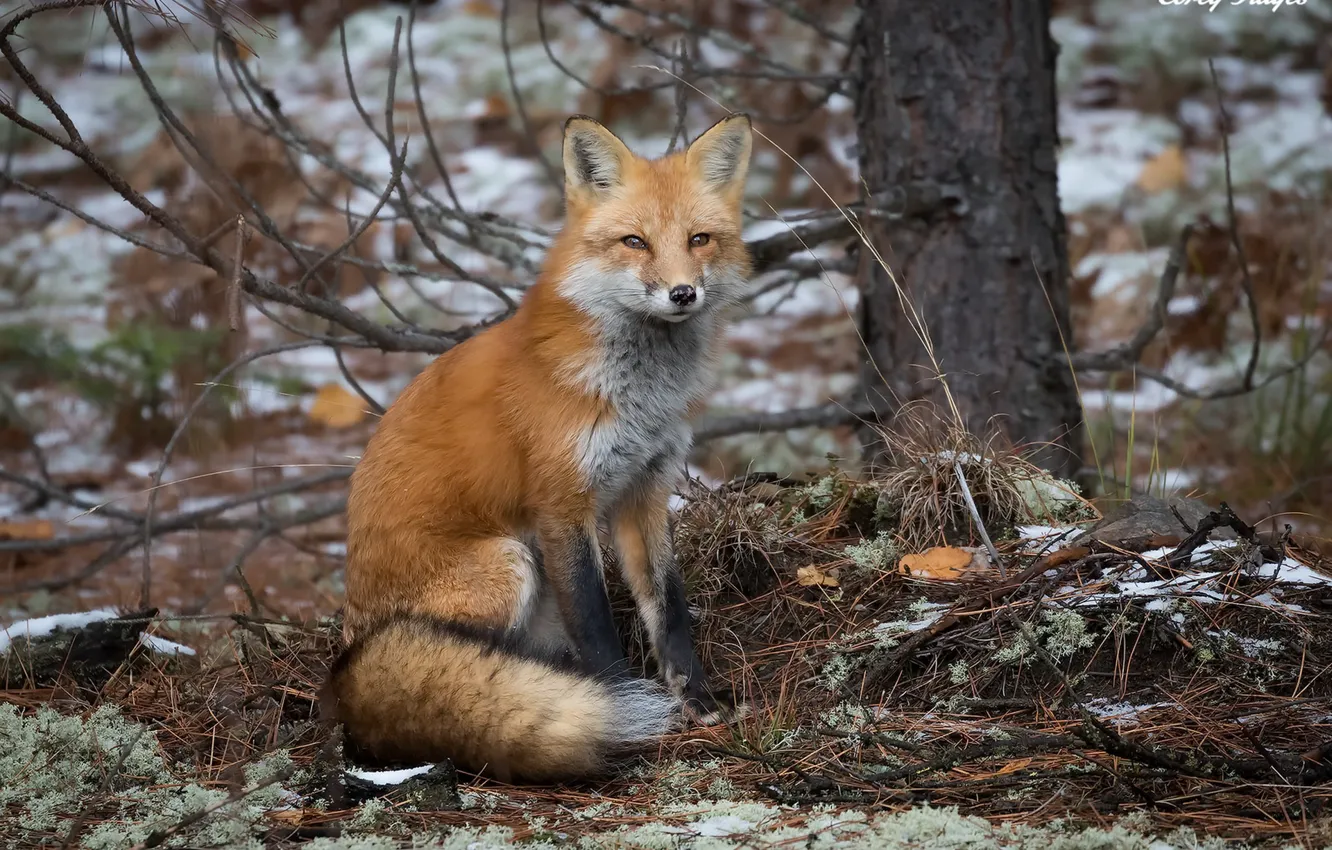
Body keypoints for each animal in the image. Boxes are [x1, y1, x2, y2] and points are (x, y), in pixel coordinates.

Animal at [322, 113, 755, 784]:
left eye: (700, 239)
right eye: (635, 242)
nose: (683, 293)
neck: (635, 394)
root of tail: (348, 660)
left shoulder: (644, 490)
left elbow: (669, 607)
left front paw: (696, 698)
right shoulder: (562, 503)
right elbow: (597, 625)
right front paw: (617, 705)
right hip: (509, 562)